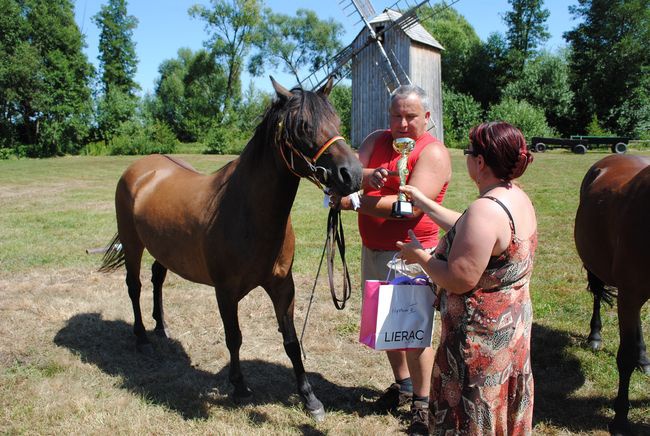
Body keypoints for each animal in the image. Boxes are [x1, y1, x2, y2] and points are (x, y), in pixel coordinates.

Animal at [98, 76, 362, 420]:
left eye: (337, 121)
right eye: (303, 126)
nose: (352, 174)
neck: (246, 210)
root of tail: (140, 169)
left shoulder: (283, 286)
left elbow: (291, 341)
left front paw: (309, 398)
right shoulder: (225, 291)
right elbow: (234, 338)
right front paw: (238, 386)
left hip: (163, 249)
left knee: (157, 279)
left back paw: (161, 327)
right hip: (133, 244)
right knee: (134, 286)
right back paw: (142, 337)